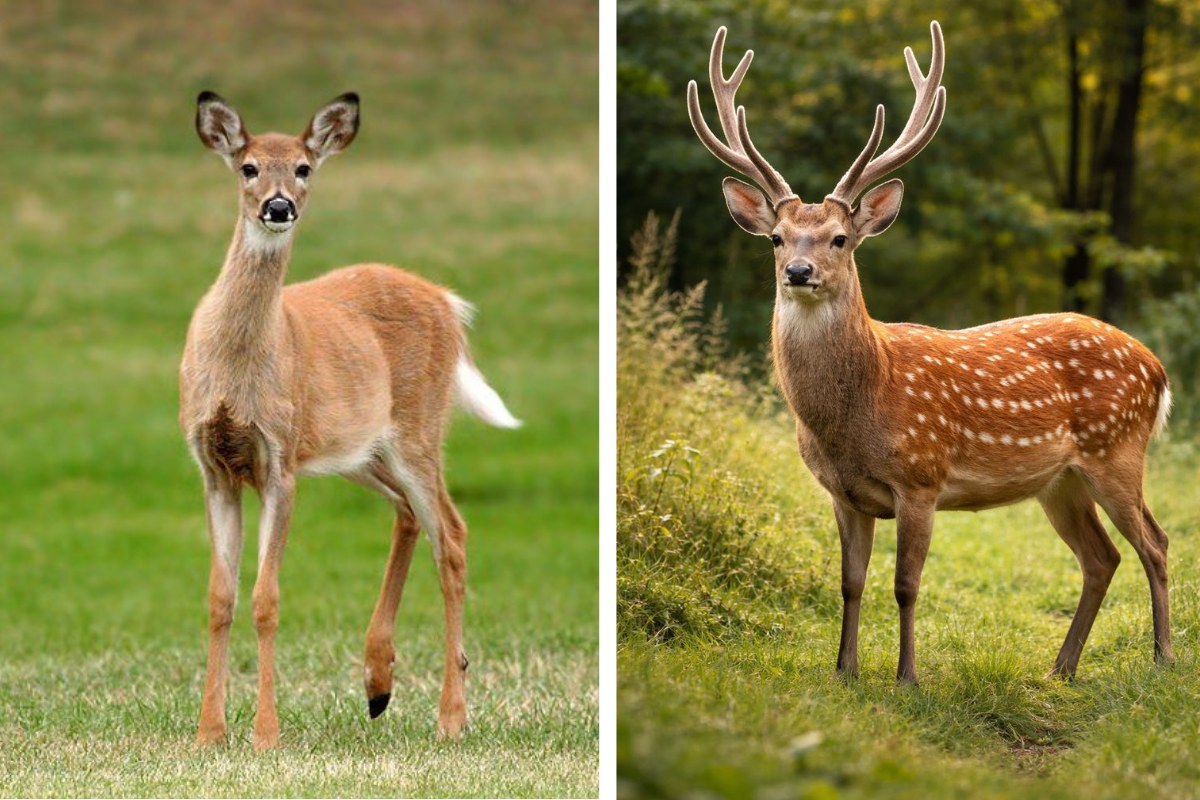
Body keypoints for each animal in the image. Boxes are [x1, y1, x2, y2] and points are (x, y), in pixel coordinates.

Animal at [183, 91, 520, 749]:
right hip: (362, 452)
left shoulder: (280, 461)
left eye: (304, 168)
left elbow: (265, 599)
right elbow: (219, 597)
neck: (236, 368)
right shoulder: (213, 464)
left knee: (452, 533)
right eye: (248, 167)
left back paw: (451, 715)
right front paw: (209, 732)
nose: (279, 206)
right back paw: (378, 682)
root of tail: (448, 302)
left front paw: (265, 734)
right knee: (410, 515)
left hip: (417, 429)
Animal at [687, 21, 1173, 683]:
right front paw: (845, 671)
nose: (799, 271)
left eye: (840, 238)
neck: (860, 408)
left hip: (1117, 450)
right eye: (776, 238)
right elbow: (850, 583)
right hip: (1060, 480)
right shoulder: (843, 493)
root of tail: (1157, 368)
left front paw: (907, 678)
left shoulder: (921, 477)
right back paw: (1060, 669)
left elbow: (906, 585)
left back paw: (1163, 658)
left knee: (1155, 543)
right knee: (1101, 558)